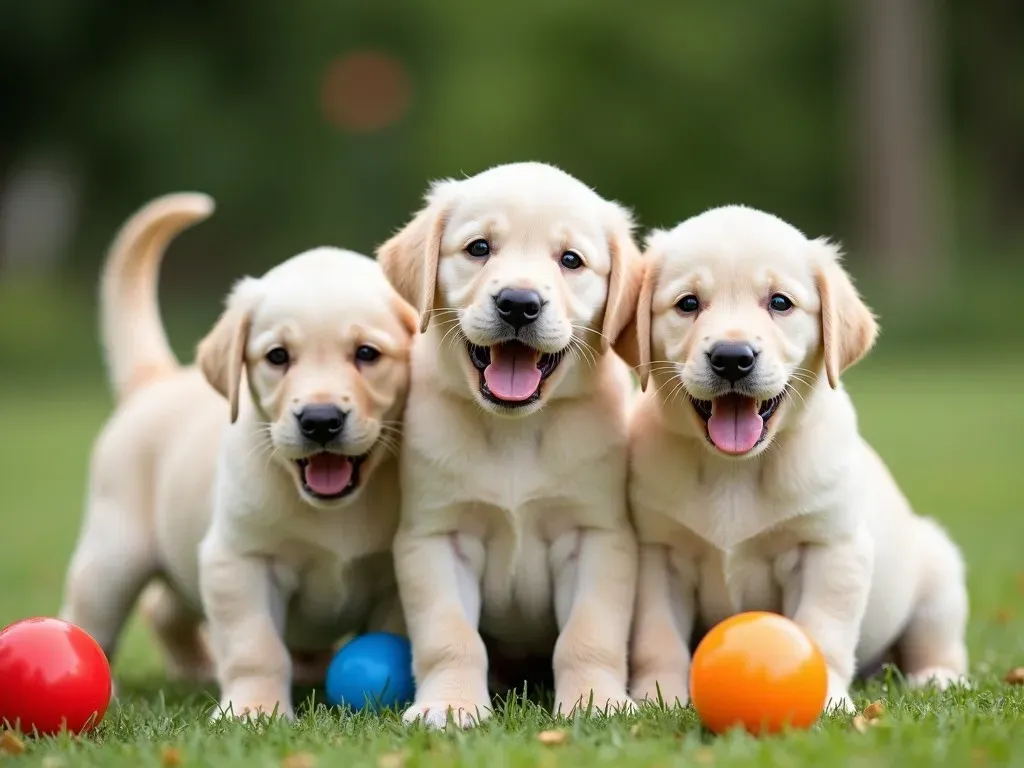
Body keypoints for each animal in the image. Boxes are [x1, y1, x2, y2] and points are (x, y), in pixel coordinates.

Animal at [58, 192, 417, 720]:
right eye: (277, 356)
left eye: (367, 353)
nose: (320, 420)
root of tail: (157, 378)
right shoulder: (237, 561)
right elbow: (256, 647)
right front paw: (255, 711)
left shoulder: (393, 579)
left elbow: (388, 634)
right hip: (114, 554)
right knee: (90, 617)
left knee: (163, 609)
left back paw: (198, 667)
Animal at [378, 160, 638, 729]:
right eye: (479, 248)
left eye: (570, 260)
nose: (519, 304)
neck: (515, 430)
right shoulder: (436, 536)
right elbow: (450, 636)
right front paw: (450, 705)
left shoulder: (598, 535)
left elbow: (588, 633)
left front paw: (596, 701)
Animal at [614, 205, 966, 716]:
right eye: (687, 303)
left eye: (780, 303)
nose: (732, 358)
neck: (734, 468)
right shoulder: (660, 553)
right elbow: (658, 637)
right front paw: (660, 696)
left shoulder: (829, 548)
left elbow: (822, 629)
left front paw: (829, 699)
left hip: (939, 572)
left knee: (938, 642)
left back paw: (937, 677)